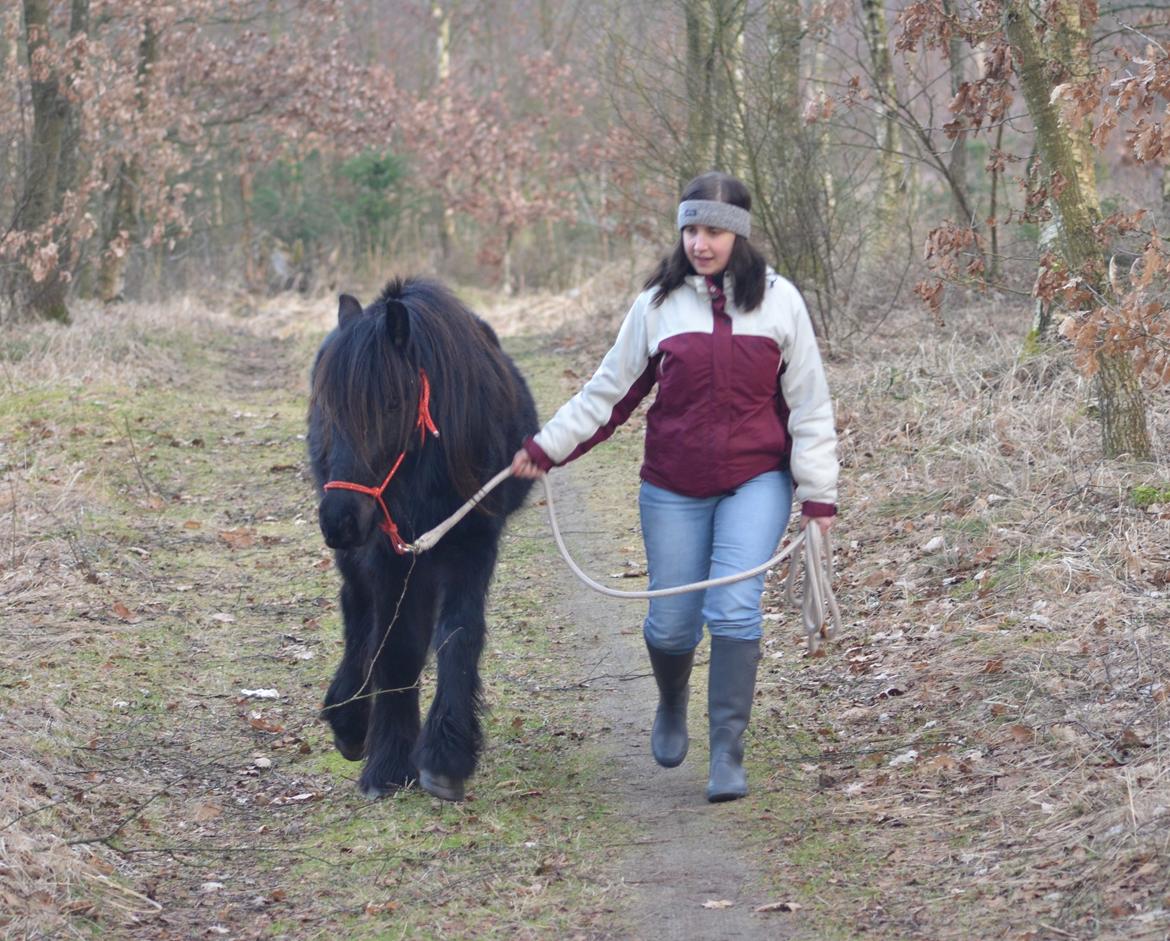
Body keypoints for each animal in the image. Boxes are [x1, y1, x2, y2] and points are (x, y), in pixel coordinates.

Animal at [306, 277, 535, 800]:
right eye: (327, 408)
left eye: (392, 403)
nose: (339, 521)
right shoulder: (387, 554)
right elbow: (396, 647)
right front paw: (389, 764)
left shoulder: (471, 545)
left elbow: (458, 635)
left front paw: (446, 757)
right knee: (358, 611)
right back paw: (349, 719)